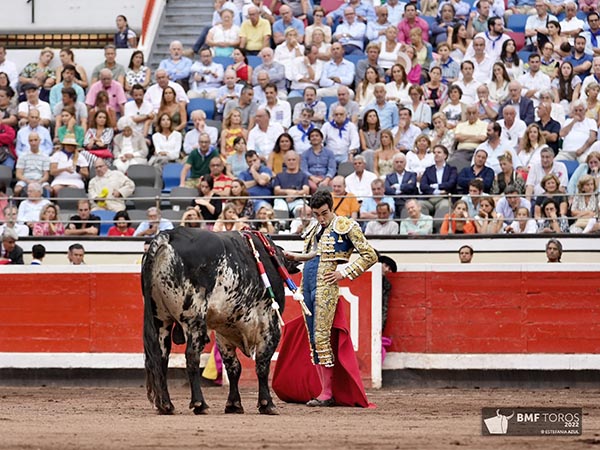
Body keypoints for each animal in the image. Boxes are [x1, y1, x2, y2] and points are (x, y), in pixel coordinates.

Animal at [141, 229, 300, 414]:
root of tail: (170, 234)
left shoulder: (224, 331)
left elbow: (234, 367)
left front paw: (234, 404)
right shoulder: (270, 327)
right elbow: (262, 364)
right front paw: (267, 404)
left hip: (160, 320)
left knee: (161, 358)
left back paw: (166, 405)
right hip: (194, 319)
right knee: (192, 356)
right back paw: (199, 404)